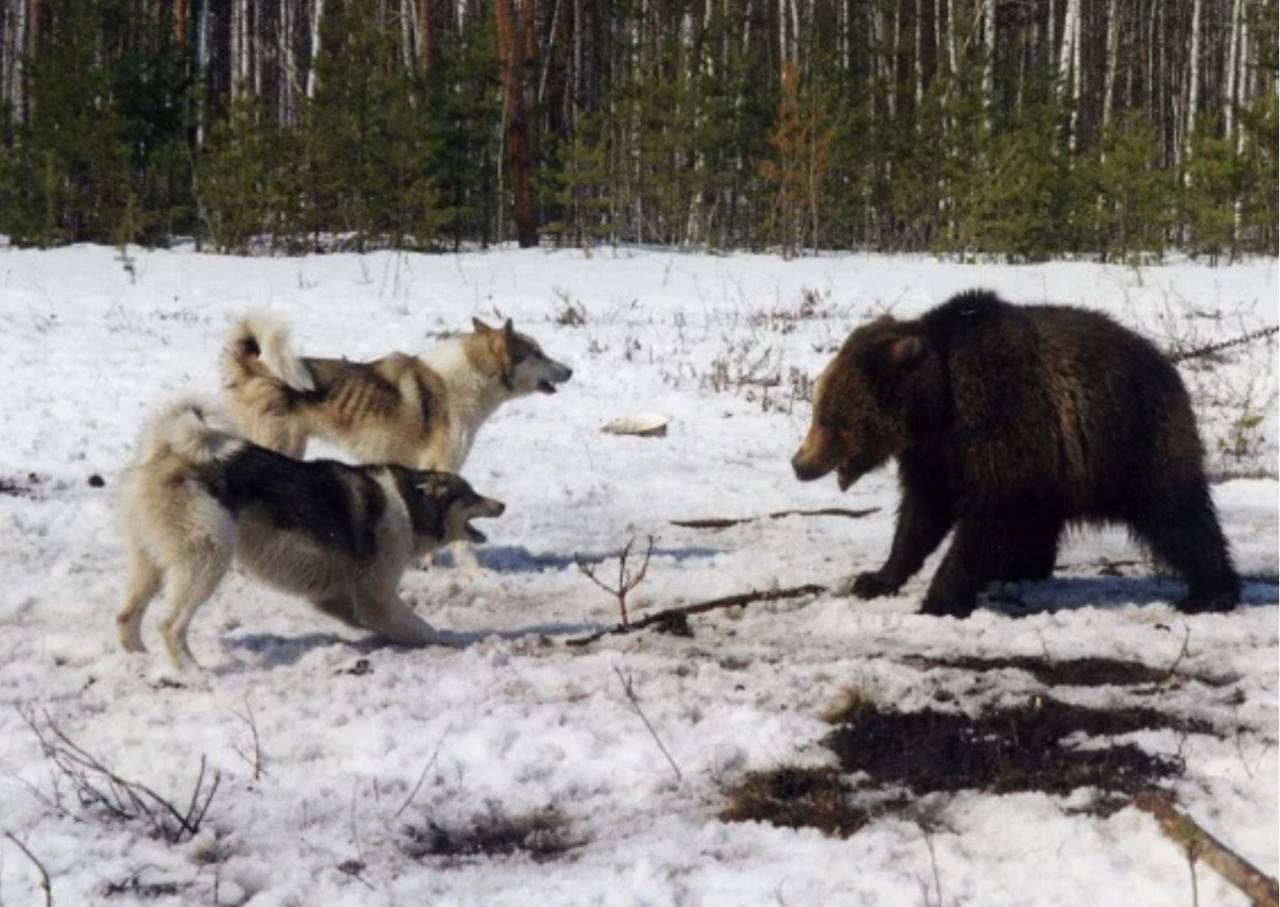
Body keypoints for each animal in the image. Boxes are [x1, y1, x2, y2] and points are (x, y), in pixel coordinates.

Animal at [115, 399, 504, 670]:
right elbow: (421, 627)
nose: (501, 505)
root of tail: (167, 451)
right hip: (206, 560)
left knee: (126, 617)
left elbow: (381, 622)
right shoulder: (376, 596)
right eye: (471, 494)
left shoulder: (335, 596)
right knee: (170, 626)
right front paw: (454, 641)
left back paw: (138, 661)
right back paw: (194, 673)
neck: (407, 505)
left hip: (150, 566)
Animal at [222, 314, 573, 573]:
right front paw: (475, 575)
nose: (570, 370)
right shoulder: (446, 467)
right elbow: (461, 539)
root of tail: (254, 366)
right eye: (537, 353)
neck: (467, 381)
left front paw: (427, 565)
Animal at [788, 290, 1239, 616]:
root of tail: (1167, 363)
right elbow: (920, 518)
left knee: (1177, 514)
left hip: (1132, 439)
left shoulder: (1000, 427)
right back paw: (1022, 570)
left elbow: (985, 523)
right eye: (819, 411)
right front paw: (875, 578)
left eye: (828, 419)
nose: (799, 464)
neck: (940, 408)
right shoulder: (936, 457)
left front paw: (938, 599)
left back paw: (1210, 592)